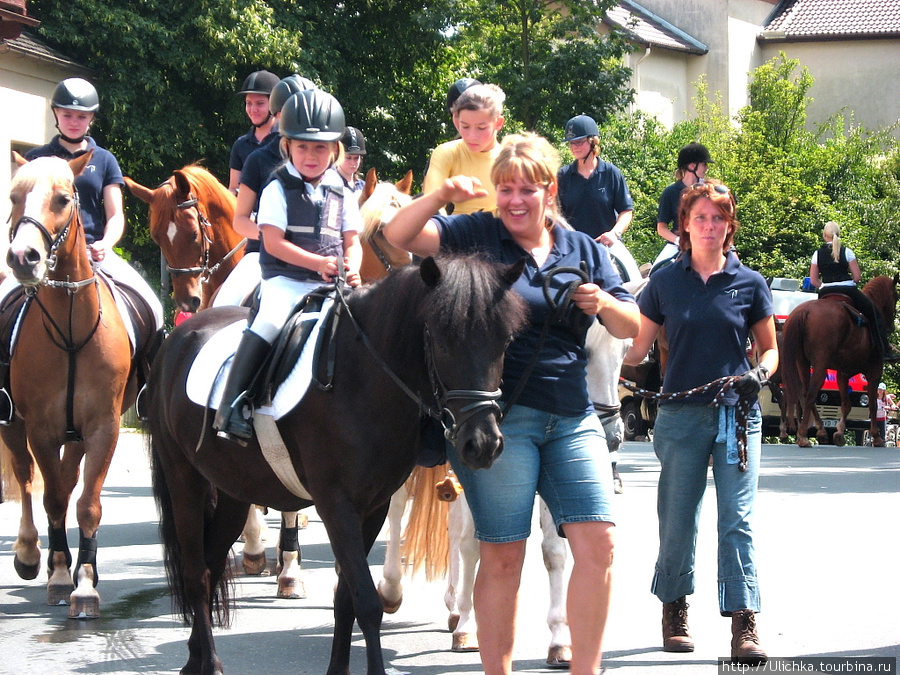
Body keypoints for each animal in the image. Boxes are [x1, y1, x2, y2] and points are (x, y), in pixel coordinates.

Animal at [2, 153, 142, 616]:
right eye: (14, 197)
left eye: (63, 199)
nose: (22, 257)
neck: (69, 327)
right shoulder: (40, 429)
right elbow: (53, 498)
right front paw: (62, 575)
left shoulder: (102, 427)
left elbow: (87, 505)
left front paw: (84, 582)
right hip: (13, 425)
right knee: (28, 477)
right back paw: (31, 554)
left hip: (77, 434)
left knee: (66, 478)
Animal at [147, 254, 528, 675]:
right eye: (442, 340)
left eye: (505, 341)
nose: (484, 444)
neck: (361, 377)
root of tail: (180, 336)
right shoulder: (337, 504)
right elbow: (366, 600)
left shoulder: (373, 506)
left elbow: (347, 598)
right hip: (184, 479)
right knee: (196, 573)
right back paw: (210, 663)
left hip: (235, 490)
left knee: (212, 563)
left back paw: (195, 658)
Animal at [780, 274, 900, 448]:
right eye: (896, 296)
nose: (891, 327)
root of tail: (805, 311)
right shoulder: (875, 372)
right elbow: (872, 404)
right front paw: (877, 437)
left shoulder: (843, 374)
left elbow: (846, 405)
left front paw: (839, 433)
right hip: (820, 366)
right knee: (811, 394)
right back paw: (803, 436)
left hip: (802, 363)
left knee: (806, 394)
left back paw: (820, 431)